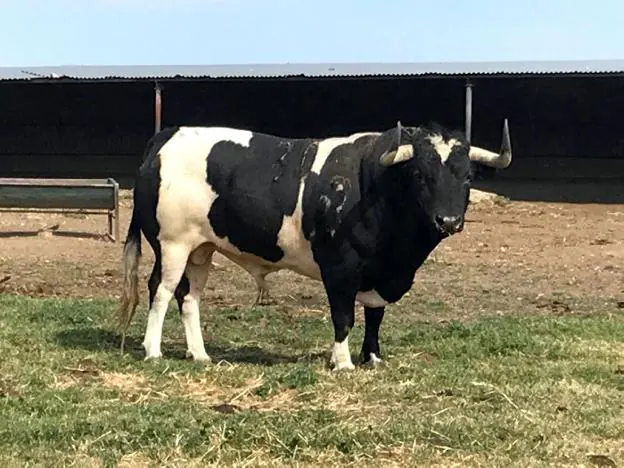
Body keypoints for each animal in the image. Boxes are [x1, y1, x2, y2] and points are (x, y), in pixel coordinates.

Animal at [118, 119, 512, 370]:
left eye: (468, 176)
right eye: (419, 174)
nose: (449, 221)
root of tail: (169, 135)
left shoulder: (380, 273)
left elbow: (375, 314)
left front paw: (373, 357)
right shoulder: (339, 268)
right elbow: (344, 316)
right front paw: (343, 362)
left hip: (201, 250)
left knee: (189, 297)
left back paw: (200, 355)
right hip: (172, 245)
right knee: (161, 289)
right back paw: (152, 350)